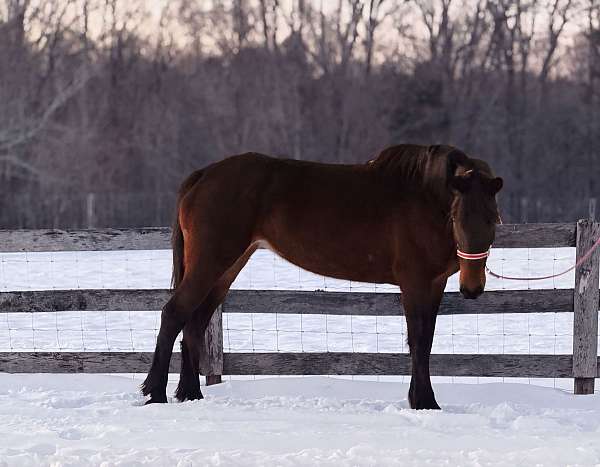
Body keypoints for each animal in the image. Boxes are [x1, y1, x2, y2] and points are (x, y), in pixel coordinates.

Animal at [143, 144, 504, 410]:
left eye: (492, 219)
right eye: (457, 218)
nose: (472, 288)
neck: (424, 197)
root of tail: (203, 175)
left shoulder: (434, 283)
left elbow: (425, 341)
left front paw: (422, 399)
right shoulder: (414, 282)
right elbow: (418, 341)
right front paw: (424, 402)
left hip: (227, 267)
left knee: (194, 323)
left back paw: (190, 394)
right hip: (211, 261)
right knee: (174, 313)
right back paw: (155, 393)